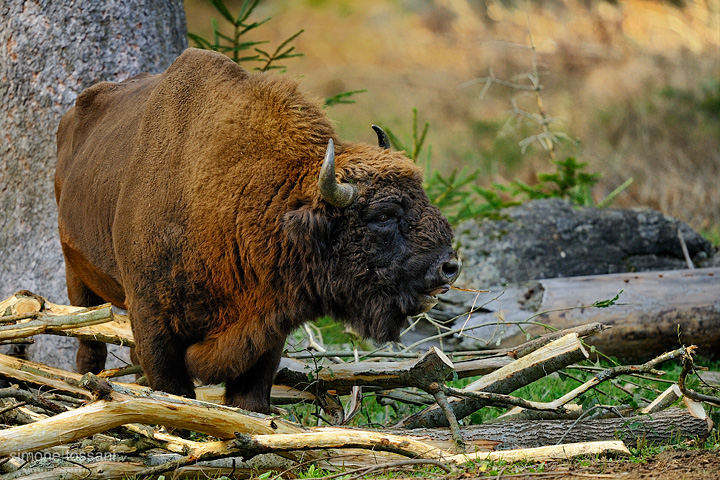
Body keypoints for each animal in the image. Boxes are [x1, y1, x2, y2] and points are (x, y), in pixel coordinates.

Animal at [56, 48, 462, 412]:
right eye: (383, 216)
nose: (449, 266)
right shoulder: (152, 320)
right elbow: (174, 392)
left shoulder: (268, 325)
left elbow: (251, 397)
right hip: (76, 274)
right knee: (89, 347)